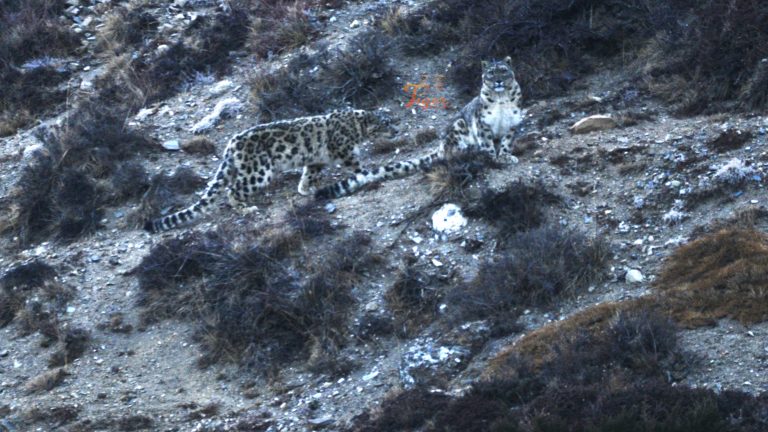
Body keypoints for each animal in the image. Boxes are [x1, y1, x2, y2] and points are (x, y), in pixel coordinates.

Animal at [144, 109, 396, 233]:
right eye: (386, 123)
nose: (396, 128)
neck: (357, 128)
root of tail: (231, 145)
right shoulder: (345, 151)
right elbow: (357, 165)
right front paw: (369, 173)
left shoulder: (316, 160)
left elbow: (309, 173)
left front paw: (305, 189)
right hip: (258, 171)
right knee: (233, 190)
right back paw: (246, 208)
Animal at [315, 56, 524, 200]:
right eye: (491, 73)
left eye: (503, 70)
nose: (498, 81)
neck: (501, 99)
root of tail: (441, 145)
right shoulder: (483, 124)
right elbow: (487, 143)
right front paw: (491, 157)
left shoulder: (512, 123)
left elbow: (506, 143)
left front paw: (505, 156)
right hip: (458, 127)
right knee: (451, 152)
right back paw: (467, 150)